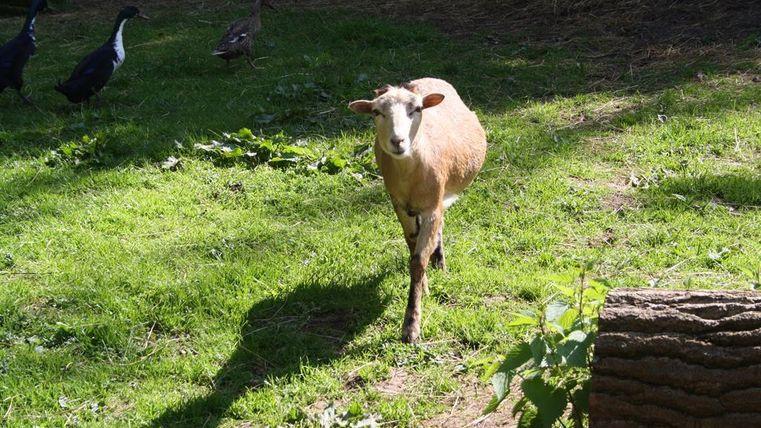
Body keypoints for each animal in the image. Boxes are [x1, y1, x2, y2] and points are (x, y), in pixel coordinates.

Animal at [349, 77, 487, 343]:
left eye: (417, 109)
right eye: (376, 112)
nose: (398, 141)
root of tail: (425, 80)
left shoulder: (432, 205)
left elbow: (418, 260)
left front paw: (411, 328)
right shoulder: (399, 205)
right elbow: (412, 247)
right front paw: (423, 287)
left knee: (439, 226)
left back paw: (440, 262)